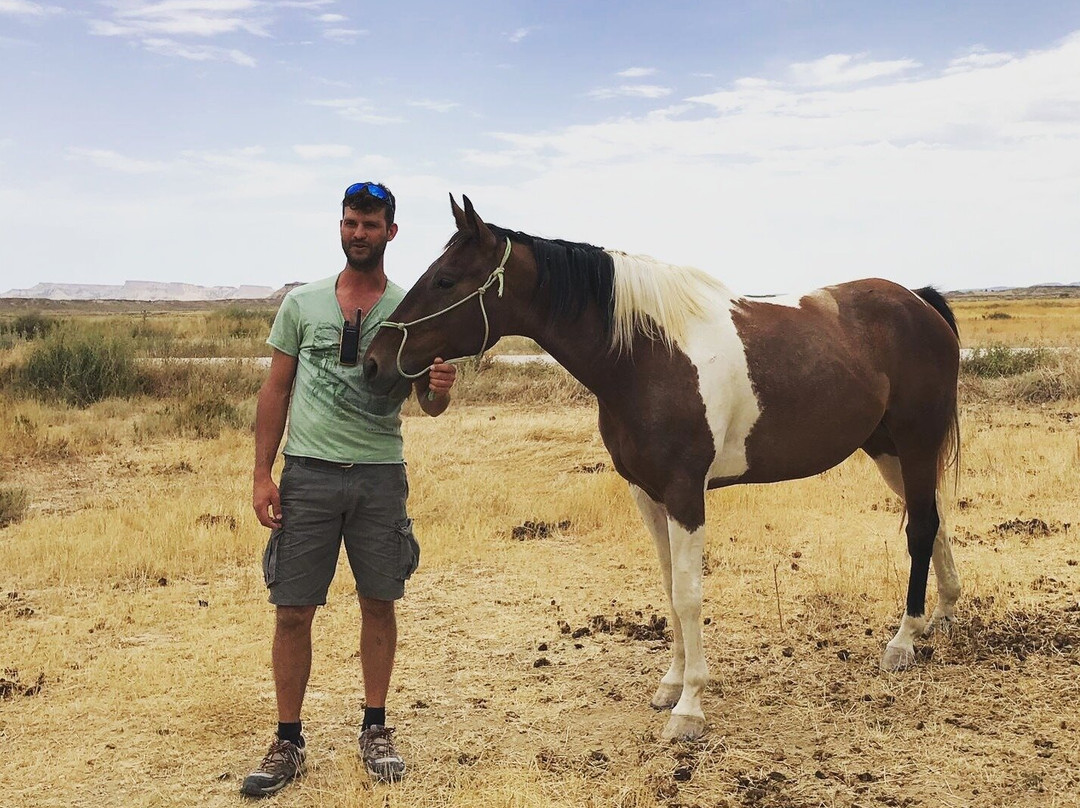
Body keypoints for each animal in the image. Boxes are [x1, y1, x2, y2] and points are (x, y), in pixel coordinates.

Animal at [365, 194, 963, 738]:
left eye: (445, 279)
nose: (372, 361)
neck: (646, 356)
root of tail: (920, 302)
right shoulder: (647, 493)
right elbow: (669, 589)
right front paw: (672, 685)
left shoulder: (683, 494)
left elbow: (689, 593)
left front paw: (691, 707)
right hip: (889, 450)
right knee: (931, 520)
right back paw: (942, 615)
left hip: (914, 442)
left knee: (920, 529)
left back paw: (903, 640)